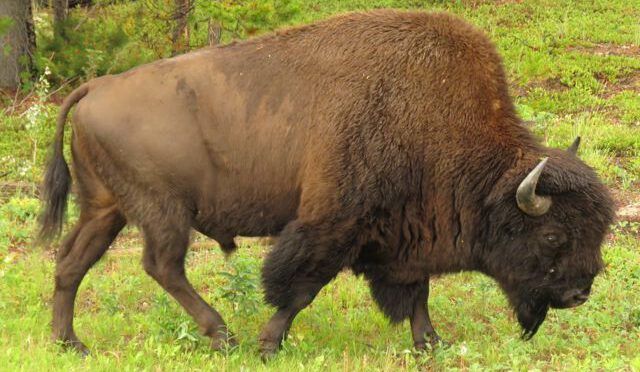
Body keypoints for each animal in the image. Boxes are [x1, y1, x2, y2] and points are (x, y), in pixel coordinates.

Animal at [40, 9, 616, 358]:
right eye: (552, 235)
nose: (579, 294)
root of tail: (94, 88)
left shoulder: (405, 233)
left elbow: (417, 291)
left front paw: (430, 344)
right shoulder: (332, 223)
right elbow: (300, 287)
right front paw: (268, 344)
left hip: (105, 208)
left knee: (72, 263)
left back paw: (72, 344)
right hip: (162, 212)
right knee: (161, 264)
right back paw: (222, 333)